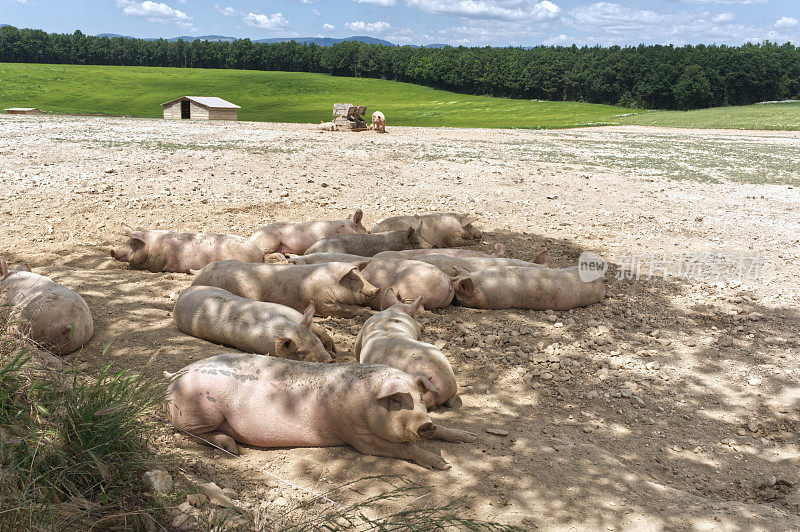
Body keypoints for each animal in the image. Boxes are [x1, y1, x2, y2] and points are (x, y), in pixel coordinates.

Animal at [109, 223, 264, 274]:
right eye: (126, 242)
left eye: (133, 244)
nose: (112, 250)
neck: (151, 248)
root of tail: (260, 254)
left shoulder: (157, 264)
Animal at [165, 354, 472, 470]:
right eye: (396, 400)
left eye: (420, 398)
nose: (425, 425)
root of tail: (174, 377)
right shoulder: (358, 437)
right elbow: (405, 447)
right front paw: (443, 465)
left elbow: (445, 430)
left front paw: (469, 437)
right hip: (201, 411)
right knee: (188, 432)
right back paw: (231, 447)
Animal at [173, 286, 336, 362]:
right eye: (301, 352)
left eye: (315, 341)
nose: (329, 360)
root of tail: (184, 291)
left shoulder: (289, 312)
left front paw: (333, 350)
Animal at [194, 260, 382, 318]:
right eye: (353, 278)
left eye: (362, 275)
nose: (377, 289)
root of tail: (198, 274)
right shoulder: (325, 304)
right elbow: (348, 309)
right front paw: (368, 310)